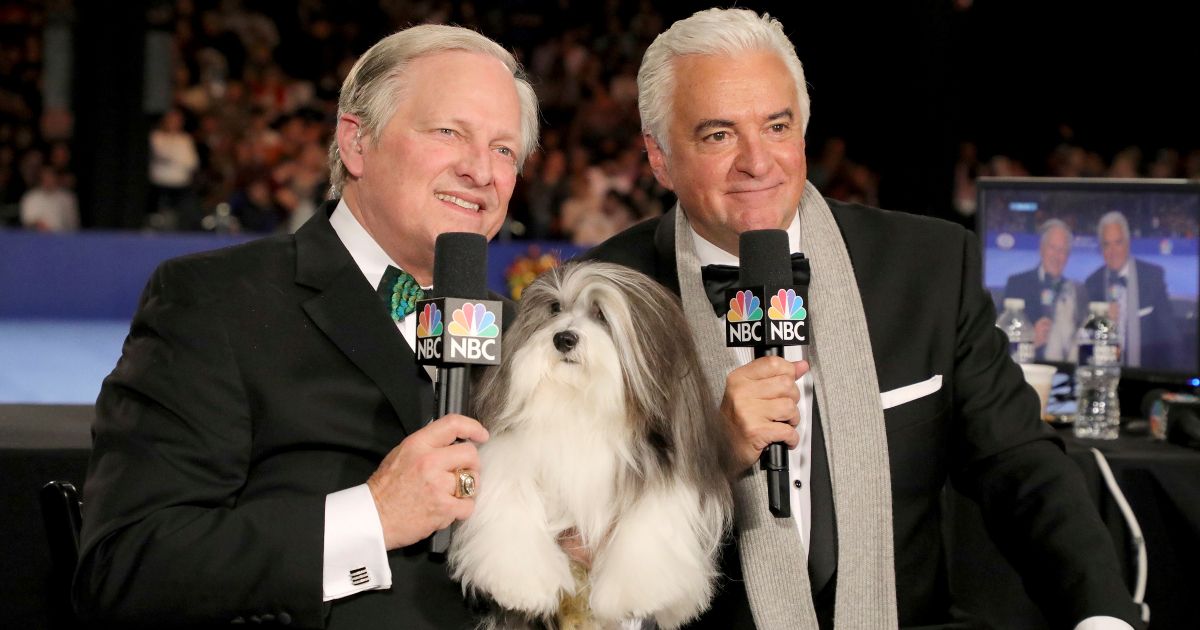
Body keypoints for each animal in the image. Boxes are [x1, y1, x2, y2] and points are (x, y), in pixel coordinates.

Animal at [448, 258, 729, 624]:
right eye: (555, 308)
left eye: (601, 315)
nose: (563, 338)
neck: (579, 403)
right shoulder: (508, 451)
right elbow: (512, 498)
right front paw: (522, 584)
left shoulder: (667, 460)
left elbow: (651, 516)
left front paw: (638, 592)